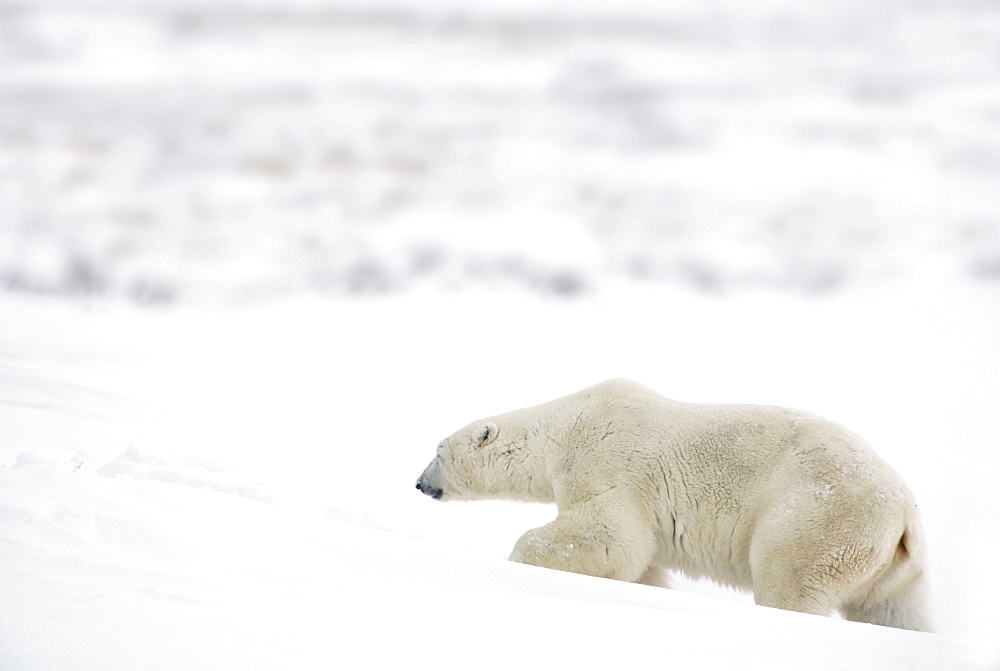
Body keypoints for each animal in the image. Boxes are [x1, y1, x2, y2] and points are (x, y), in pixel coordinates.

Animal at [414, 380, 928, 632]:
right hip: (894, 565)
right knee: (895, 612)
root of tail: (904, 509)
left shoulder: (607, 463)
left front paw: (520, 558)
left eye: (438, 451)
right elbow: (642, 563)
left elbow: (612, 540)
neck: (564, 428)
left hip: (819, 516)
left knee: (791, 583)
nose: (419, 483)